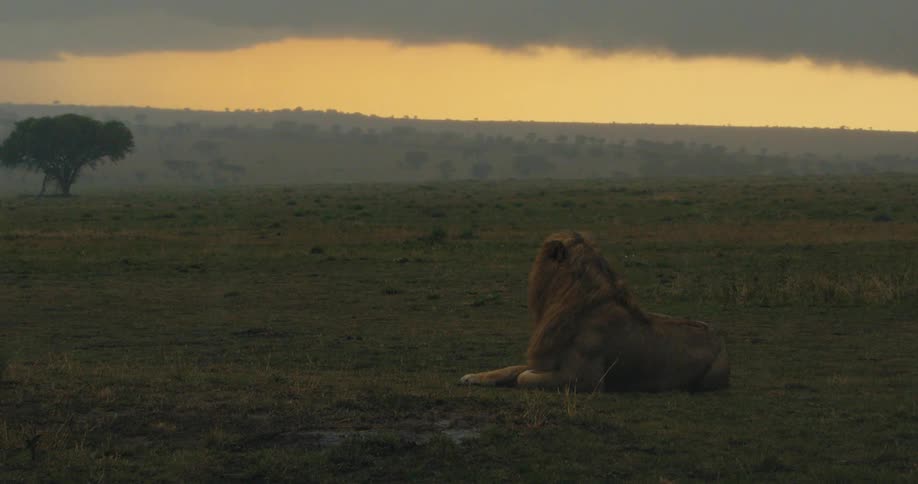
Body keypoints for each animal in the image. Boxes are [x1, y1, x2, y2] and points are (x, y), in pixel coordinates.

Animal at [460, 231, 729, 392]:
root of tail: (719, 338)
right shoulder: (546, 359)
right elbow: (512, 369)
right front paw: (472, 376)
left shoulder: (585, 379)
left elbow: (523, 376)